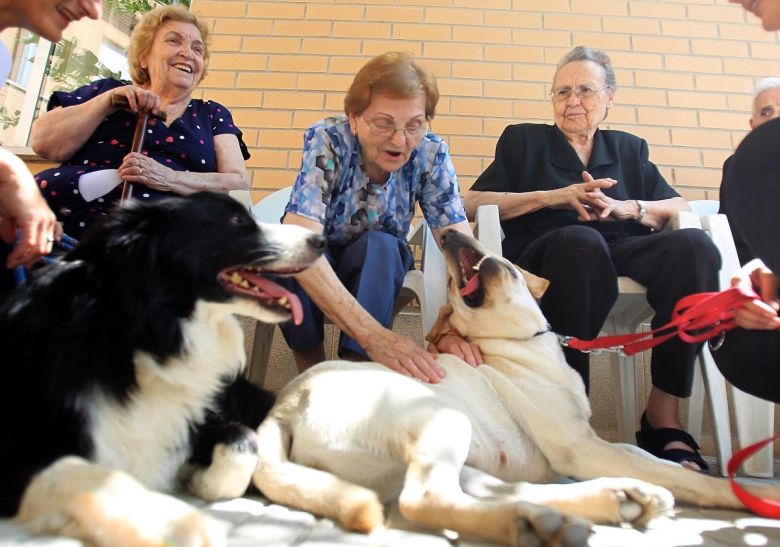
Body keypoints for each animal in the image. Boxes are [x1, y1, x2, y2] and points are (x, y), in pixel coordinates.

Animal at [0, 192, 322, 544]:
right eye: (236, 220)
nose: (321, 240)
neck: (143, 337)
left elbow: (243, 441)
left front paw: (199, 480)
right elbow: (97, 477)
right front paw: (184, 524)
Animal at [254, 231, 780, 547]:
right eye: (451, 288)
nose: (447, 233)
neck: (518, 342)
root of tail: (286, 405)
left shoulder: (590, 442)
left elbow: (648, 456)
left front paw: (663, 472)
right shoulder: (578, 447)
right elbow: (691, 477)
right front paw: (739, 493)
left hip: (466, 452)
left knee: (502, 489)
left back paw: (610, 500)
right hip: (442, 420)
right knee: (425, 500)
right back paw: (528, 523)